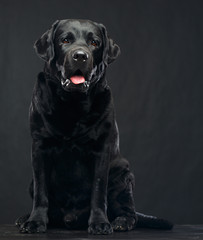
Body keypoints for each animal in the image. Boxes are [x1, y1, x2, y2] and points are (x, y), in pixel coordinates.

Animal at [15, 19, 173, 234]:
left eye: (95, 43)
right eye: (65, 40)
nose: (81, 56)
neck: (71, 104)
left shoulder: (102, 150)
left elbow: (98, 191)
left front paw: (99, 223)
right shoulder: (39, 147)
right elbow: (41, 191)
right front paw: (35, 221)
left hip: (122, 175)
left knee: (130, 212)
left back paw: (121, 221)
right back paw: (25, 217)